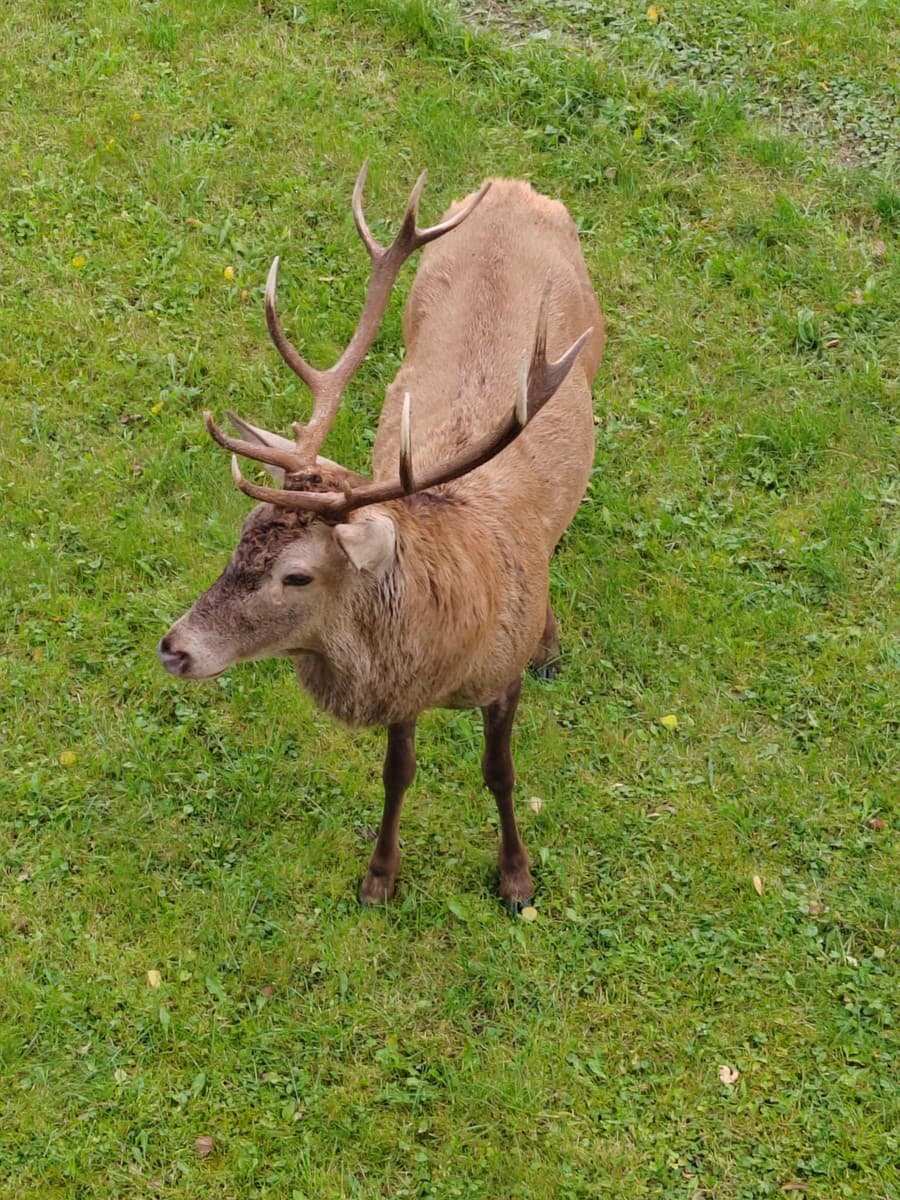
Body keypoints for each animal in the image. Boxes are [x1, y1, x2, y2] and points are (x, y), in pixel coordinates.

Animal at [157, 159, 607, 907]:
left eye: (297, 575)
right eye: (242, 535)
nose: (175, 648)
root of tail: (515, 186)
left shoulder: (501, 679)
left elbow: (501, 773)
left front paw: (516, 877)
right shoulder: (404, 688)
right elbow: (398, 773)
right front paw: (380, 877)